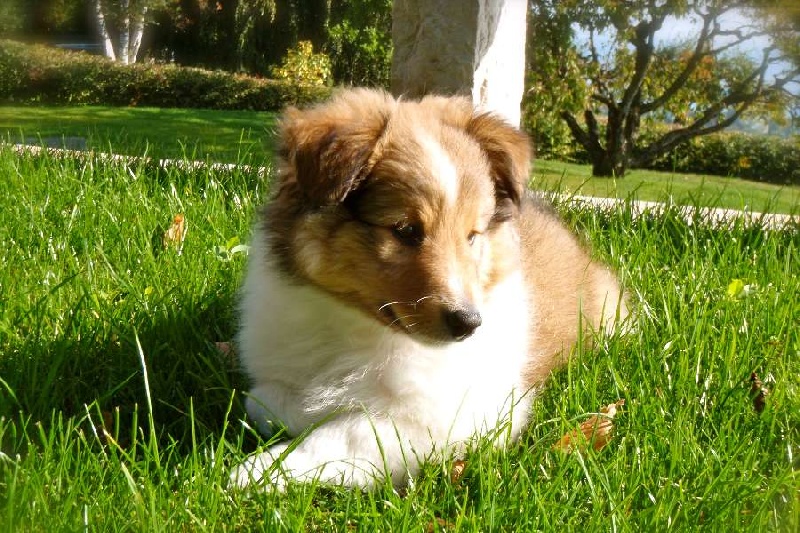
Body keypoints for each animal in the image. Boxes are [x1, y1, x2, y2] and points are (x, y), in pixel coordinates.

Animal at [230, 88, 628, 490]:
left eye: (472, 235)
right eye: (405, 230)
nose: (468, 324)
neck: (351, 324)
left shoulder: (453, 417)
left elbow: (341, 434)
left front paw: (252, 473)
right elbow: (261, 401)